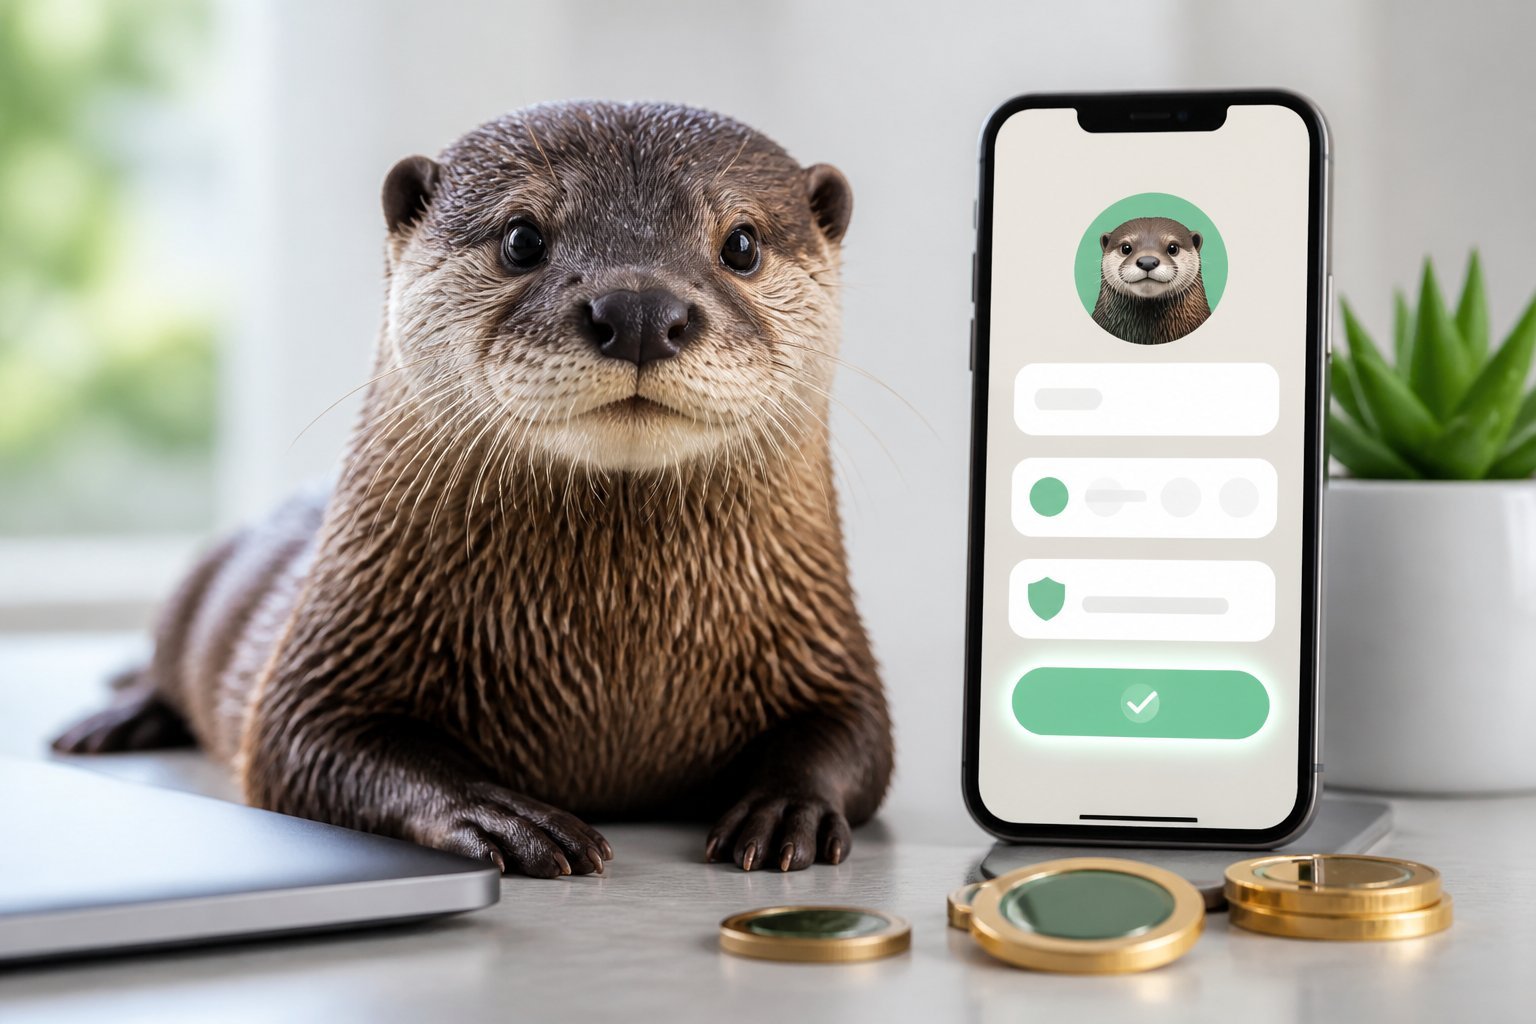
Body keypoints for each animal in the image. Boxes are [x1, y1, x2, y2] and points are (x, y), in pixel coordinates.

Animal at [53, 102, 893, 877]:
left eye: (742, 243)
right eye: (522, 237)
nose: (640, 310)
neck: (616, 665)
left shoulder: (826, 646)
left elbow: (857, 738)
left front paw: (785, 810)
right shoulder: (326, 651)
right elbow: (306, 743)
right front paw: (499, 813)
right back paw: (115, 722)